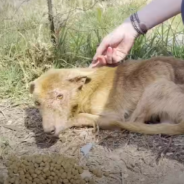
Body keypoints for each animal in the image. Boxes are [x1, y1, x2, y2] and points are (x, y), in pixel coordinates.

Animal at [29, 56, 184, 137]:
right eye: (37, 103)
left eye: (60, 96)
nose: (48, 131)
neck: (87, 89)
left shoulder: (114, 115)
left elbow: (80, 116)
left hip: (157, 86)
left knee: (135, 121)